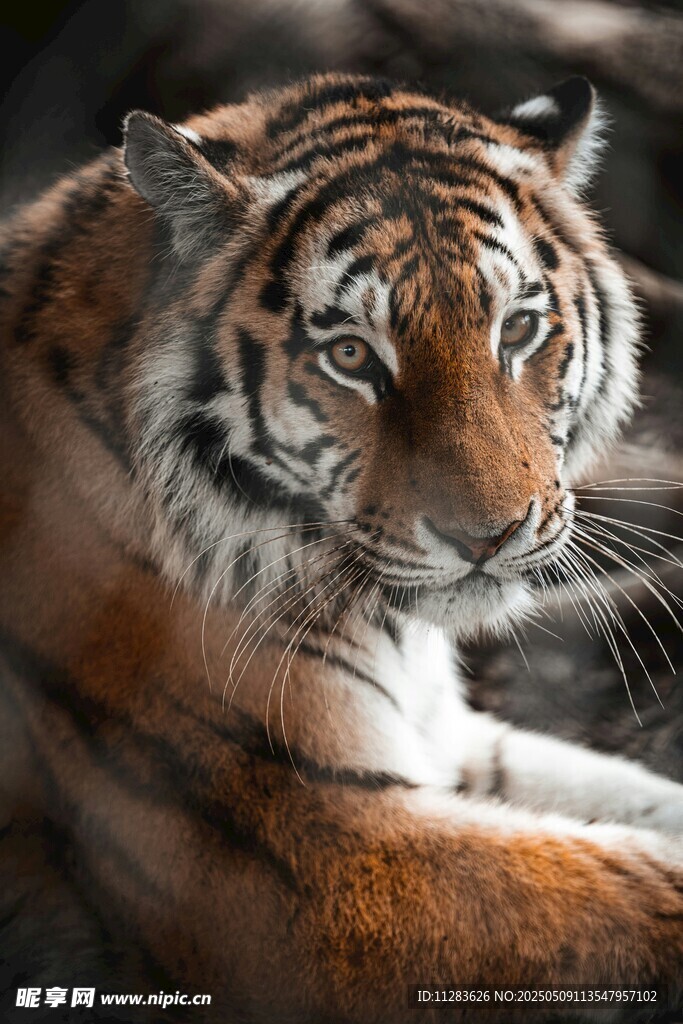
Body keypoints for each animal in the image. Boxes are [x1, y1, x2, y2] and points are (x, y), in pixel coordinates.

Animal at [1, 70, 682, 1023]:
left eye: (515, 330)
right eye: (352, 356)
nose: (489, 535)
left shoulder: (448, 740)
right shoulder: (321, 854)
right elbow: (639, 886)